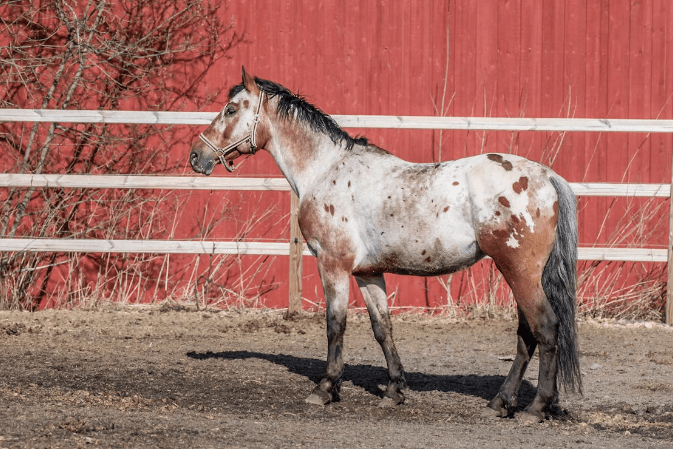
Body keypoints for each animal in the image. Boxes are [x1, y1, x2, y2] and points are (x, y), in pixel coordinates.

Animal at [188, 66, 576, 424]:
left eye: (231, 109)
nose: (196, 156)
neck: (325, 169)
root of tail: (546, 176)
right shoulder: (367, 273)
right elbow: (382, 328)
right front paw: (394, 391)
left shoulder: (333, 264)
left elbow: (335, 325)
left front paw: (325, 389)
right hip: (519, 273)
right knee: (527, 334)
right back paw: (499, 403)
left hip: (519, 271)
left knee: (545, 328)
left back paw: (534, 409)